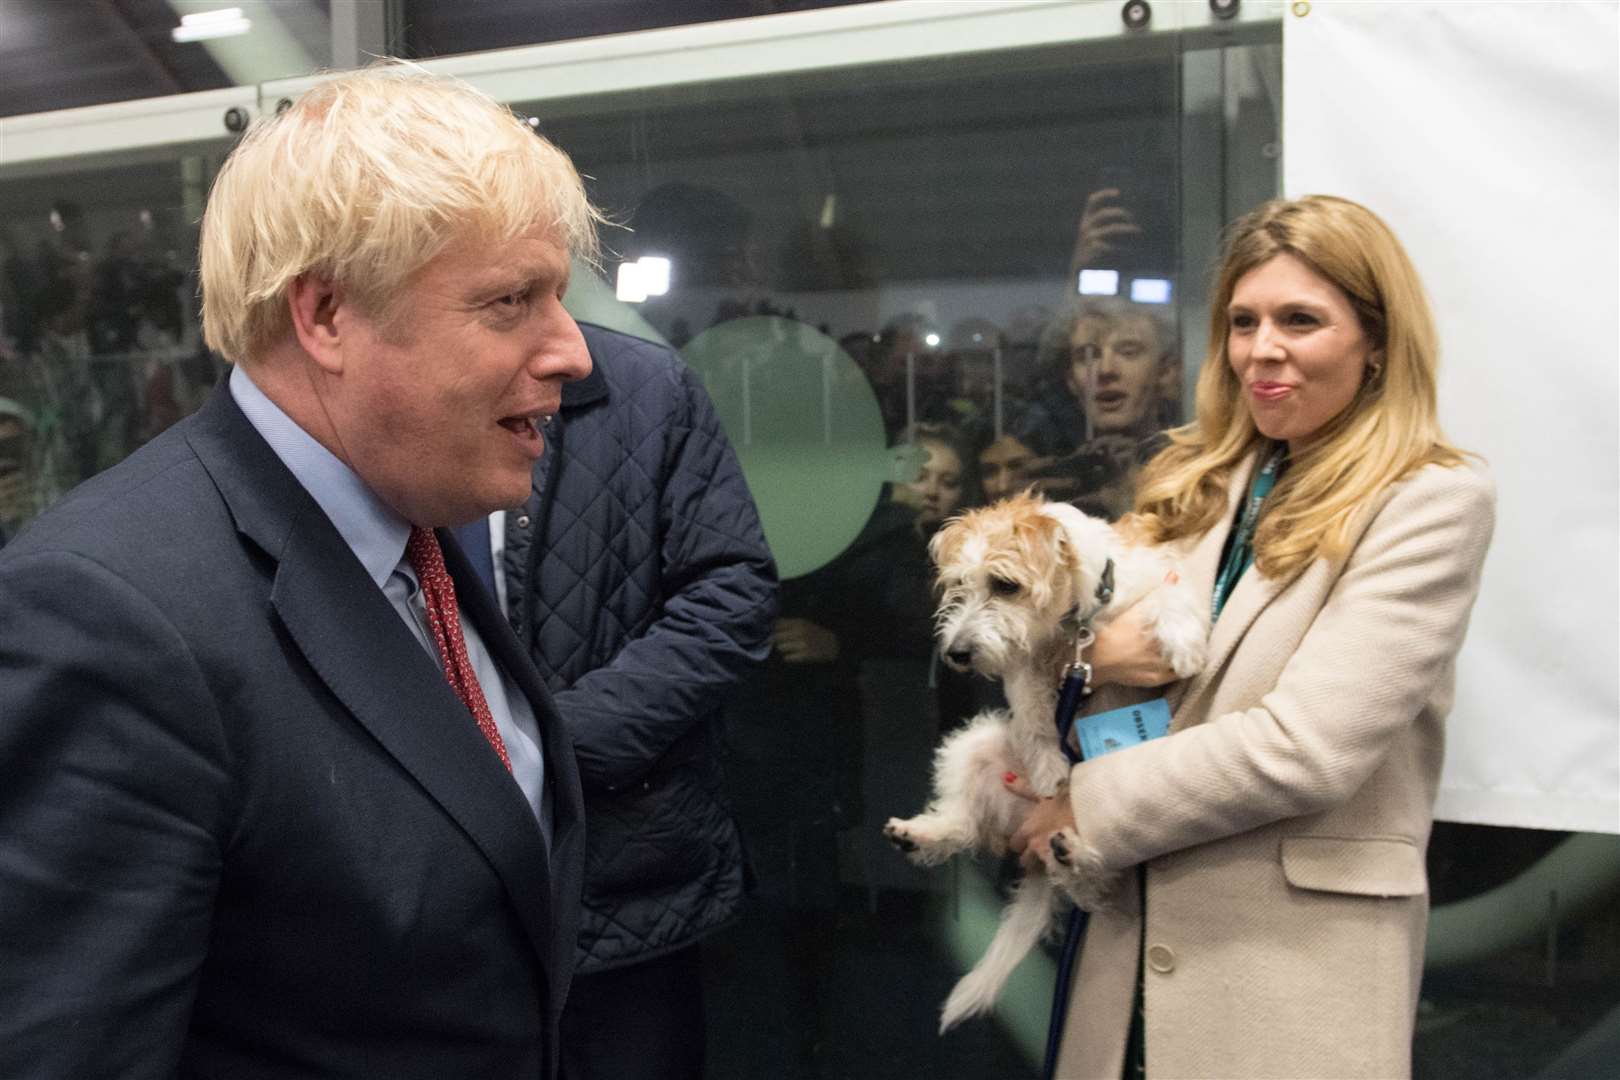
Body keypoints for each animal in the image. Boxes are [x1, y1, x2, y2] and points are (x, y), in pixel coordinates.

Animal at [881, 495, 1211, 1036]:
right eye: (958, 585)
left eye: (1004, 584)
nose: (956, 654)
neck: (1075, 622)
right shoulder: (1025, 668)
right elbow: (1034, 717)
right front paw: (1049, 769)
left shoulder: (1155, 580)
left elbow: (1170, 598)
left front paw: (1183, 643)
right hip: (974, 744)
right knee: (966, 825)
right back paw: (923, 834)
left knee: (1094, 890)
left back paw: (1072, 854)